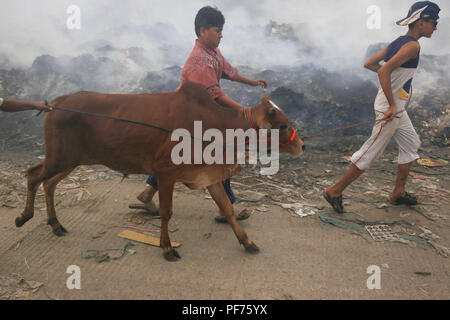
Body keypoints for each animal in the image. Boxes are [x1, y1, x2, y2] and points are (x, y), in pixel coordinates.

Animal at [14, 82, 302, 260]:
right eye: (283, 126)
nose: (302, 144)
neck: (214, 126)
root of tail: (57, 101)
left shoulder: (209, 175)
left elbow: (228, 209)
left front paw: (247, 242)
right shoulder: (165, 174)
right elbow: (166, 212)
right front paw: (166, 248)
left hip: (71, 160)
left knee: (49, 183)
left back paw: (55, 224)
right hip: (59, 158)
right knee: (33, 176)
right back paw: (24, 216)